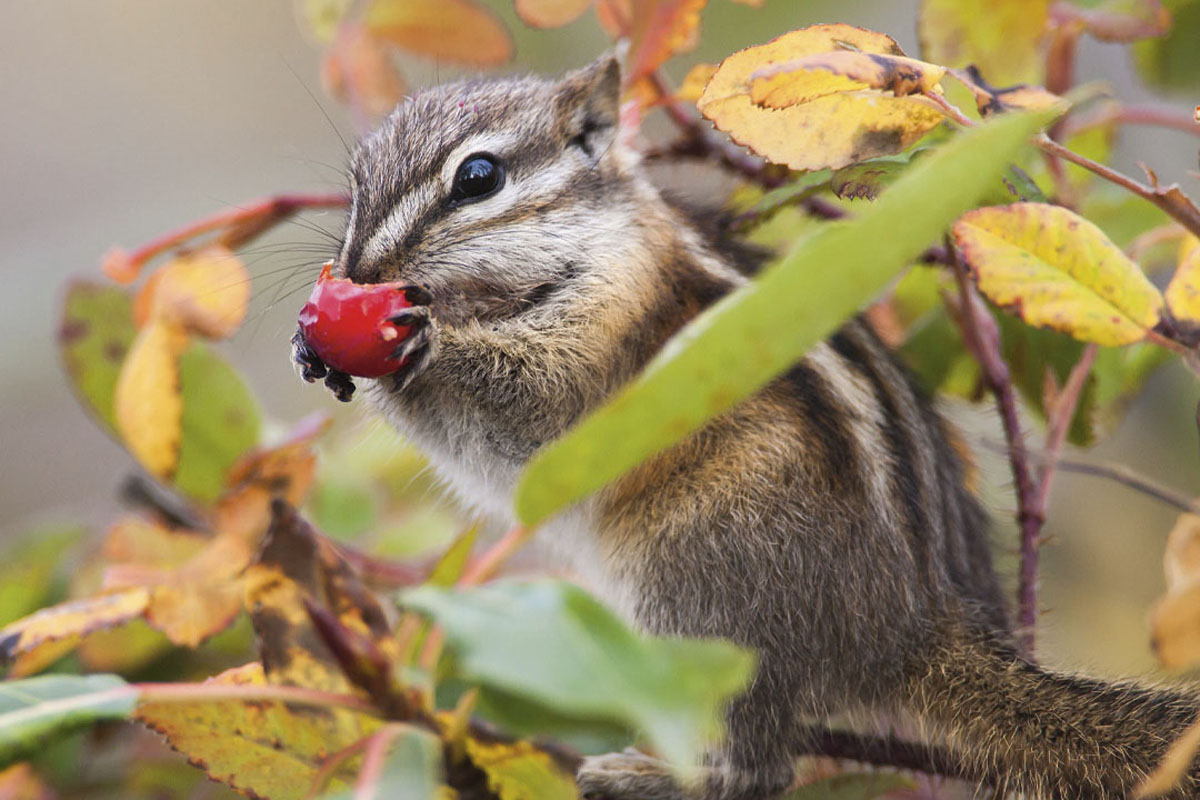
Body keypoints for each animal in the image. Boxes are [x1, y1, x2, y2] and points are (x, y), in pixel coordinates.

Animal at [291, 56, 1200, 799]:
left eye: (478, 177)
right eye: (357, 178)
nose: (360, 272)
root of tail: (911, 629)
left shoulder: (607, 339)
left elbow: (530, 411)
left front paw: (424, 344)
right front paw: (318, 349)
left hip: (700, 584)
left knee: (760, 766)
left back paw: (654, 777)